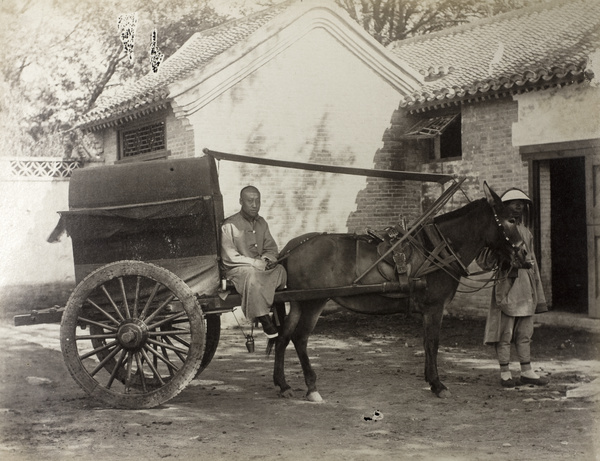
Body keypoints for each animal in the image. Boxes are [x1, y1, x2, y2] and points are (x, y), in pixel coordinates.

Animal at [272, 181, 528, 400]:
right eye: (512, 219)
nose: (524, 253)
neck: (437, 249)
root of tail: (291, 249)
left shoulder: (428, 310)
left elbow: (426, 343)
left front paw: (430, 380)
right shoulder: (435, 307)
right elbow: (433, 343)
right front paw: (438, 385)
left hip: (298, 303)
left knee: (283, 336)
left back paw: (283, 385)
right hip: (313, 302)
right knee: (300, 338)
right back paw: (312, 387)